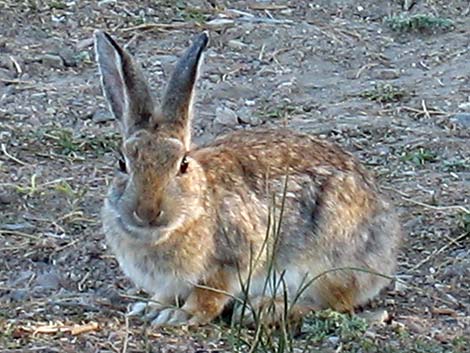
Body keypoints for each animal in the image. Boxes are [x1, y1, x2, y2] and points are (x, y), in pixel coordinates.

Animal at [94, 31, 400, 328]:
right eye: (122, 164)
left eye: (182, 165)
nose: (147, 212)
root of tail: (386, 250)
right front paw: (152, 307)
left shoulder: (232, 260)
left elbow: (210, 294)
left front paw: (183, 315)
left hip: (324, 258)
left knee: (331, 302)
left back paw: (265, 308)